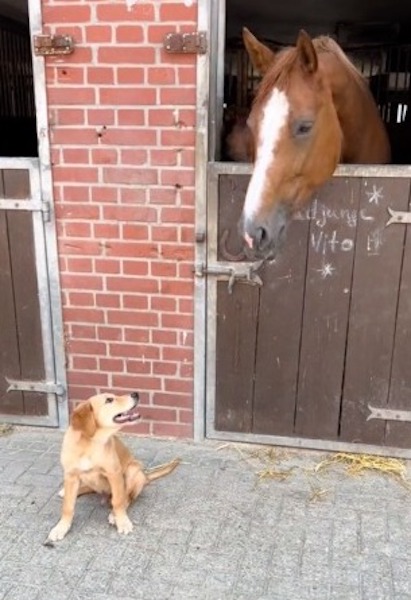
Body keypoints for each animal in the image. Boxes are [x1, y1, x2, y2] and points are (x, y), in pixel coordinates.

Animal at [47, 392, 179, 540]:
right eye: (109, 400)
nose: (135, 394)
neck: (91, 444)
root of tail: (146, 475)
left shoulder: (114, 473)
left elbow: (118, 501)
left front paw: (122, 521)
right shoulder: (71, 475)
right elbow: (67, 507)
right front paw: (61, 527)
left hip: (132, 470)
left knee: (127, 498)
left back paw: (114, 515)